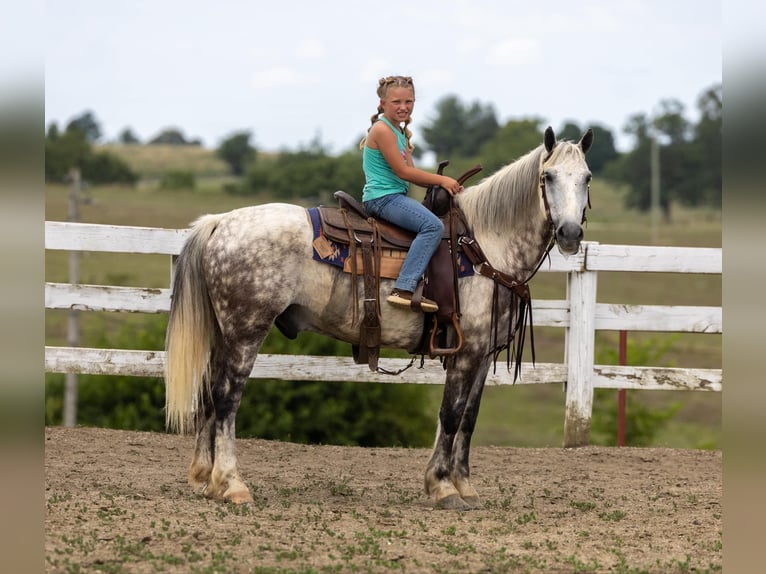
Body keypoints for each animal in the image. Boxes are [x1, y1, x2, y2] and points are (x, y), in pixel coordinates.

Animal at [164, 125, 592, 508]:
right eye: (548, 176)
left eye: (586, 178)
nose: (570, 234)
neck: (486, 246)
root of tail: (220, 223)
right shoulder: (465, 351)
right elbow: (451, 414)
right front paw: (443, 488)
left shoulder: (483, 355)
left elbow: (468, 419)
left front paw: (465, 487)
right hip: (246, 331)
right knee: (227, 397)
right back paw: (232, 484)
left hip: (224, 333)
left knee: (209, 391)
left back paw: (206, 479)